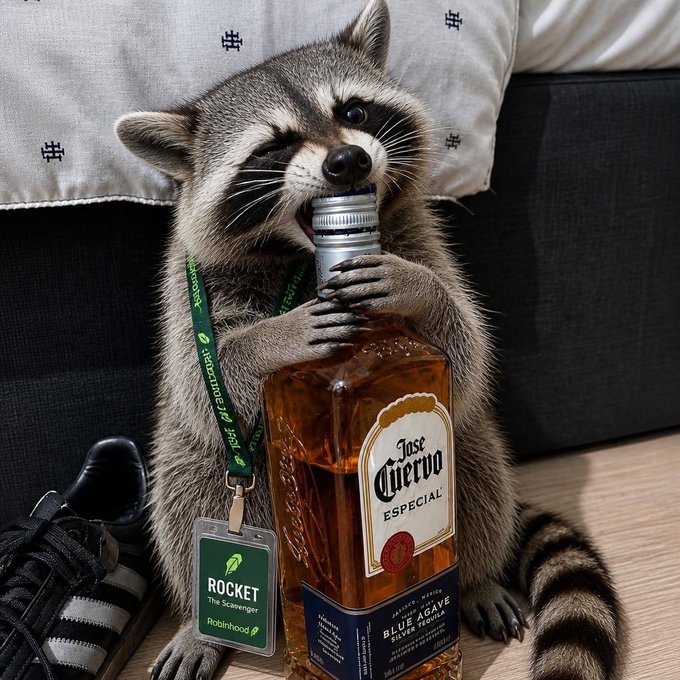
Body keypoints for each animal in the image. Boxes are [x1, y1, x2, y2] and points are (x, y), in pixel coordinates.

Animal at [116, 1, 626, 679]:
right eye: (276, 145)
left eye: (353, 113)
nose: (348, 163)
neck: (300, 259)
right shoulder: (189, 279)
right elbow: (204, 378)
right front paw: (272, 337)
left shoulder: (416, 232)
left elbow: (466, 346)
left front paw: (417, 290)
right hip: (206, 474)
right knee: (186, 489)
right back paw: (201, 625)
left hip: (467, 456)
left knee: (476, 458)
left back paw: (473, 577)